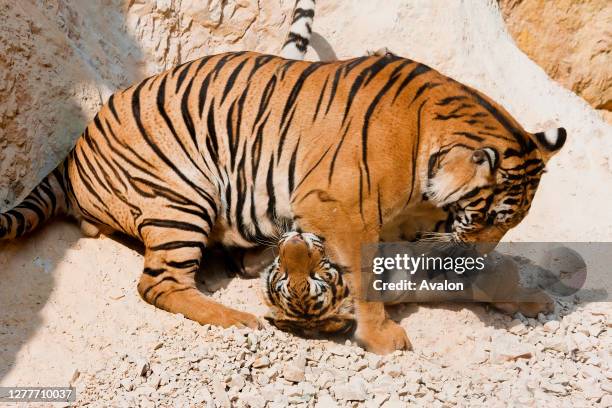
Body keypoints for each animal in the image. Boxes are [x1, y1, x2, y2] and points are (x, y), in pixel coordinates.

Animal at [0, 48, 564, 354]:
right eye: (488, 217)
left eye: (510, 225)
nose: (481, 250)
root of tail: (70, 155)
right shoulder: (342, 208)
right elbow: (367, 279)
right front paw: (385, 337)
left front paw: (528, 297)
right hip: (183, 194)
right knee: (157, 283)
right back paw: (237, 318)